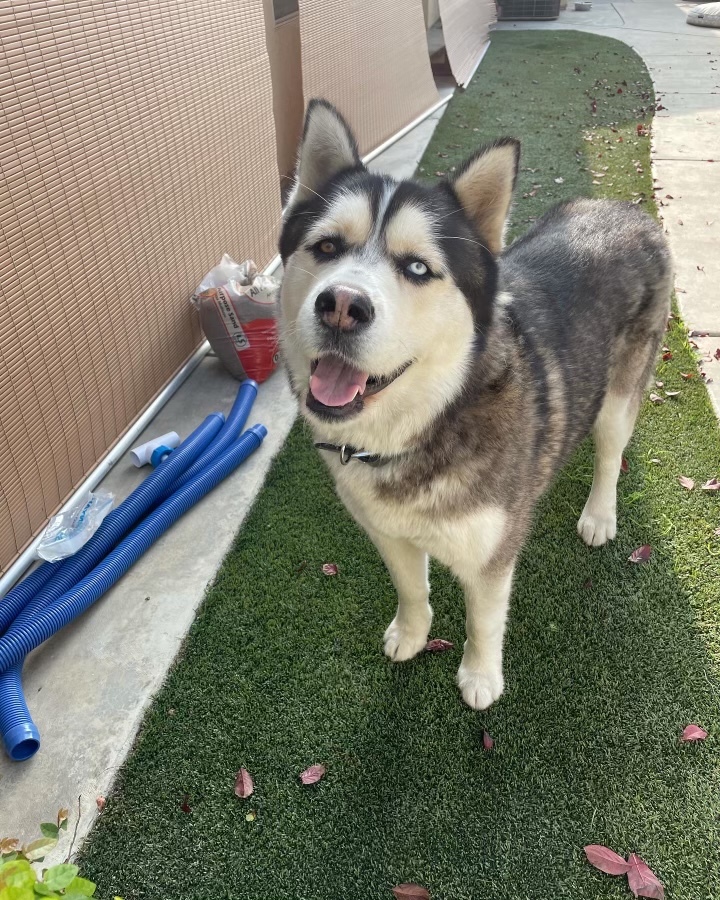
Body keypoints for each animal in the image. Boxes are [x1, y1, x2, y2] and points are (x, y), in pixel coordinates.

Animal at [278, 100, 672, 712]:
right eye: (326, 247)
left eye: (417, 268)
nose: (341, 305)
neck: (424, 426)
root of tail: (626, 209)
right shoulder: (386, 532)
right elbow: (411, 588)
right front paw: (412, 634)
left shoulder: (491, 555)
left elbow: (483, 621)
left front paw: (481, 678)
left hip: (621, 393)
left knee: (610, 453)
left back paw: (599, 515)